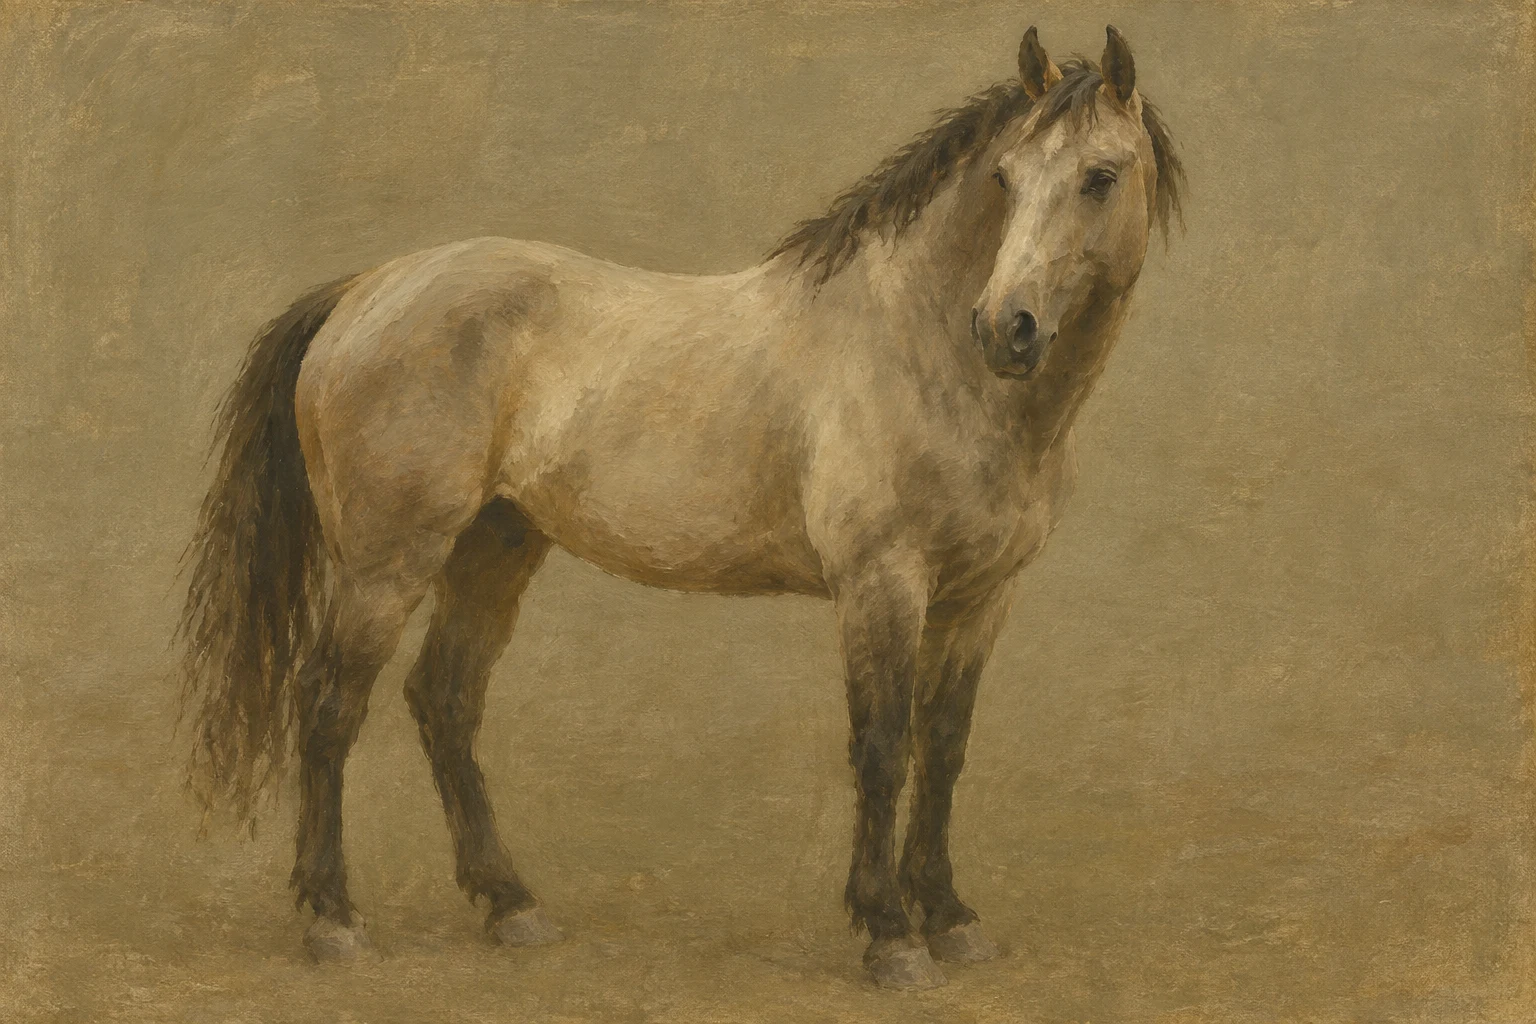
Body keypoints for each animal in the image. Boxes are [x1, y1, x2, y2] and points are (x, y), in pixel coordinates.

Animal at [176, 24, 1182, 990]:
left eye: (1100, 177)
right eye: (1006, 180)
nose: (1006, 329)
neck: (921, 348)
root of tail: (363, 291)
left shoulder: (981, 598)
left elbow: (943, 748)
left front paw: (953, 920)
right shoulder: (883, 585)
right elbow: (883, 745)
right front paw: (892, 937)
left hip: (495, 547)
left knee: (446, 699)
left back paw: (512, 907)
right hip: (388, 564)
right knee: (328, 706)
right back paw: (334, 922)